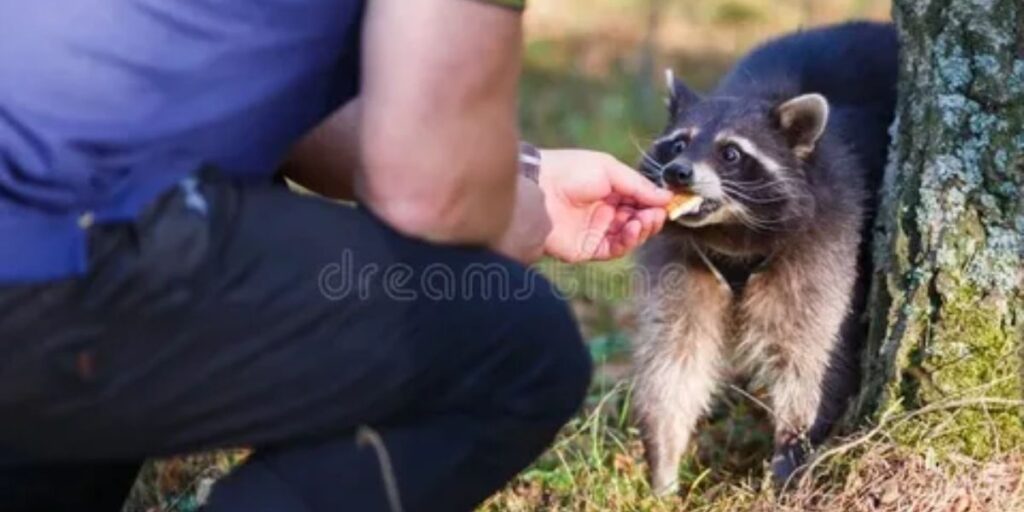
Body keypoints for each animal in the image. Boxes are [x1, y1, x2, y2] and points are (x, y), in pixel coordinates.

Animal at [630, 19, 897, 491]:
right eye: (678, 145)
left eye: (731, 153)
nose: (677, 173)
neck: (730, 233)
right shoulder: (680, 258)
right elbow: (674, 354)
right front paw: (662, 463)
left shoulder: (828, 241)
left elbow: (811, 360)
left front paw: (792, 457)